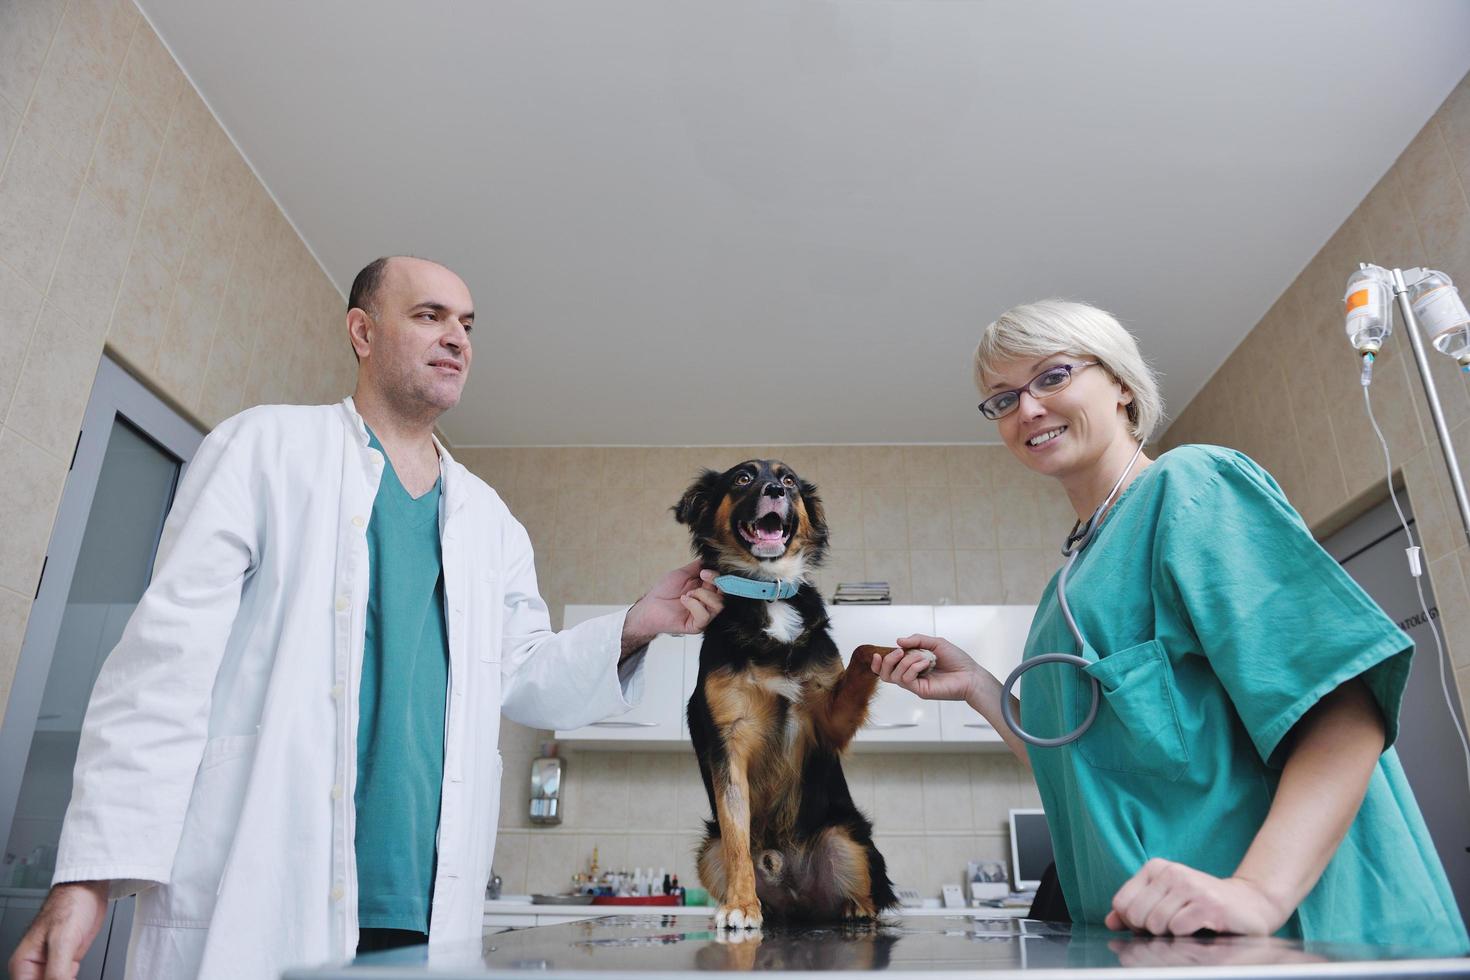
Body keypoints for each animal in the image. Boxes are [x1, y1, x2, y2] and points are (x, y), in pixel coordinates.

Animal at [673, 458, 893, 928]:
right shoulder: (728, 741)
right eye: (743, 478)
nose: (775, 490)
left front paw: (903, 654)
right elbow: (737, 837)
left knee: (864, 889)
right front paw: (741, 905)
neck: (768, 589)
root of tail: (798, 900)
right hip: (708, 851)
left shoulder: (828, 723)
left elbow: (864, 652)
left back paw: (857, 908)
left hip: (846, 835)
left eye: (788, 479)